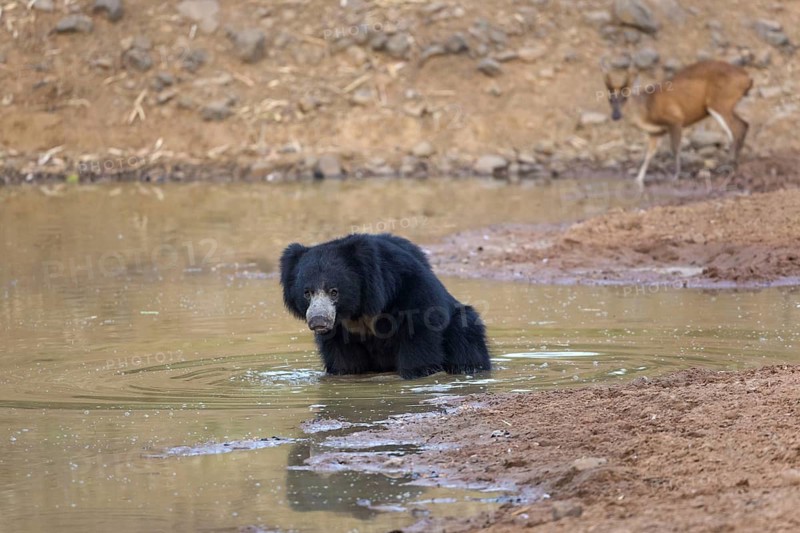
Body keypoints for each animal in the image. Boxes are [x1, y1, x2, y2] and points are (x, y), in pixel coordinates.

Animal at [279, 233, 491, 379]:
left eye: (334, 291)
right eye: (307, 293)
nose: (318, 320)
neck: (357, 310)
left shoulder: (408, 289)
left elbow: (419, 334)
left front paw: (418, 372)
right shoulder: (339, 329)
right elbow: (343, 358)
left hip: (461, 326)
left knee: (465, 339)